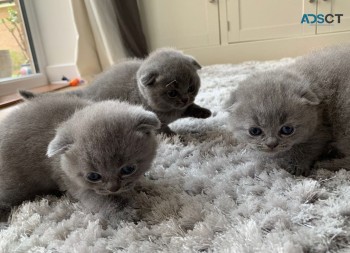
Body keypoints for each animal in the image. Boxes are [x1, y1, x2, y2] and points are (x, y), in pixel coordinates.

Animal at [0, 94, 160, 221]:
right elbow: (102, 200)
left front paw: (145, 185)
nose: (113, 188)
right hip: (15, 185)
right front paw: (124, 213)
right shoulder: (74, 183)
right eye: (93, 176)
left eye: (128, 169)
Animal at [20, 47, 212, 134]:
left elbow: (192, 109)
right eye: (172, 93)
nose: (185, 98)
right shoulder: (154, 118)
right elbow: (161, 128)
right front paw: (174, 137)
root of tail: (87, 90)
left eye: (191, 88)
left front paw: (205, 112)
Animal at [226, 44, 350, 176]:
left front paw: (297, 166)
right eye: (255, 131)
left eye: (287, 129)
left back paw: (326, 164)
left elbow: (307, 147)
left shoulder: (320, 130)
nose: (271, 144)